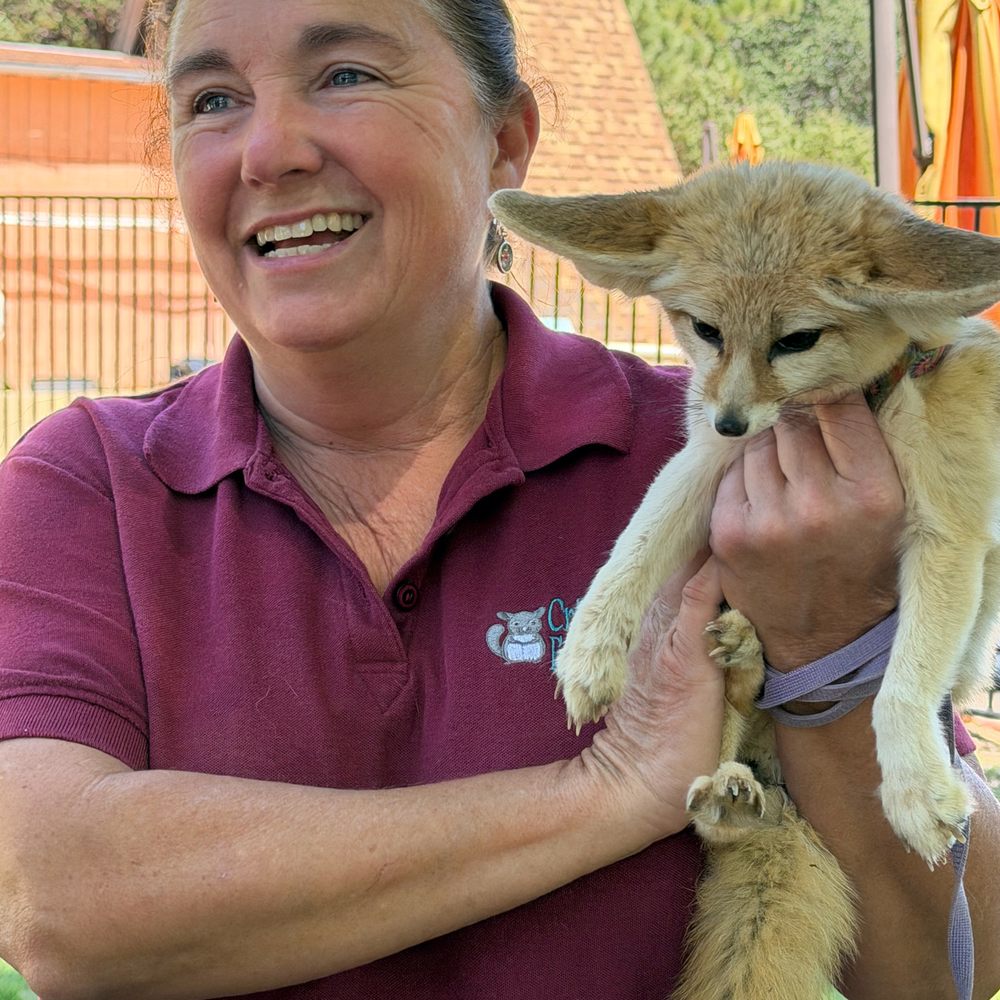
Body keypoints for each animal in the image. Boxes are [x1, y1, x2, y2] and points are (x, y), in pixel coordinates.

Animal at [489, 161, 1000, 999]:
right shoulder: (705, 463)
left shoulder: (950, 532)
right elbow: (634, 545)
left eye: (796, 340)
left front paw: (914, 786)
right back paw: (741, 709)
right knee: (710, 807)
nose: (728, 419)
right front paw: (591, 650)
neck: (846, 405)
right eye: (705, 330)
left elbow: (903, 684)